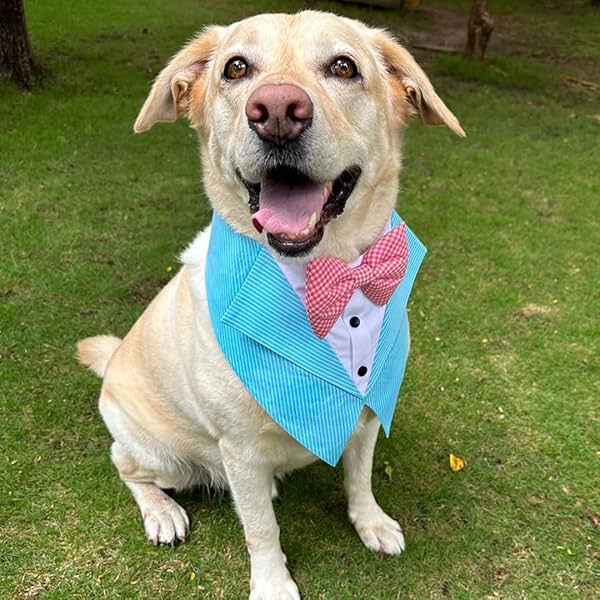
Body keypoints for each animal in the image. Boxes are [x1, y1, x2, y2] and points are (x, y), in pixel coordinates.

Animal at [77, 10, 464, 600]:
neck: (329, 276)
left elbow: (359, 476)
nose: (277, 111)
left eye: (344, 66)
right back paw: (161, 513)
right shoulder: (238, 449)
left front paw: (370, 521)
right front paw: (273, 582)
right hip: (166, 456)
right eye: (236, 68)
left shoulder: (367, 412)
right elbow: (260, 529)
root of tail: (114, 360)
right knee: (126, 465)